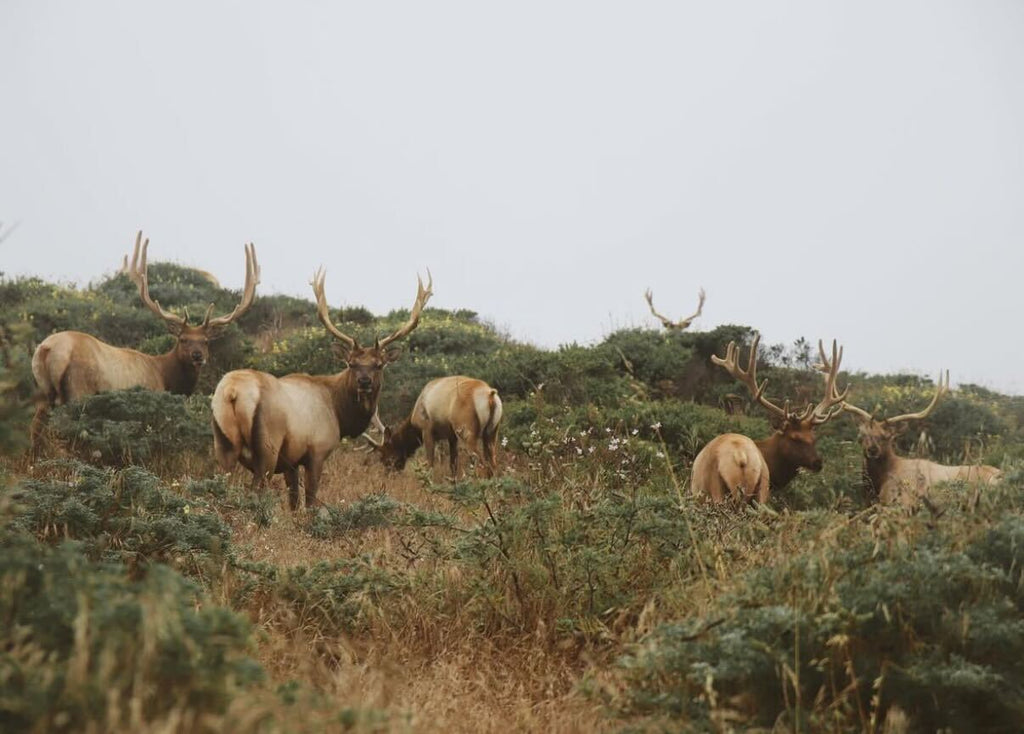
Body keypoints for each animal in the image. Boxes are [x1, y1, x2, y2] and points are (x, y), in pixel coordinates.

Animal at [30, 230, 260, 446]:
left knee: (35, 429)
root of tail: (47, 349)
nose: (197, 356)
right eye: (183, 339)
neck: (166, 378)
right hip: (78, 389)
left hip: (43, 392)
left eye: (205, 341)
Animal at [209, 266, 430, 507]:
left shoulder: (291, 461)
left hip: (222, 442)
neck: (339, 414)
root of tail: (232, 391)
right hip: (267, 447)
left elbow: (293, 501)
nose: (364, 382)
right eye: (351, 363)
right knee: (256, 489)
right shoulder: (317, 450)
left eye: (378, 364)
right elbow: (311, 501)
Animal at [364, 372, 503, 481]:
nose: (388, 476)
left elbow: (430, 463)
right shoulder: (451, 435)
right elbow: (453, 464)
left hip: (466, 430)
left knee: (482, 467)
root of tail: (490, 395)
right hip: (492, 432)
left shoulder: (426, 429)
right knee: (493, 465)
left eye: (386, 458)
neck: (414, 420)